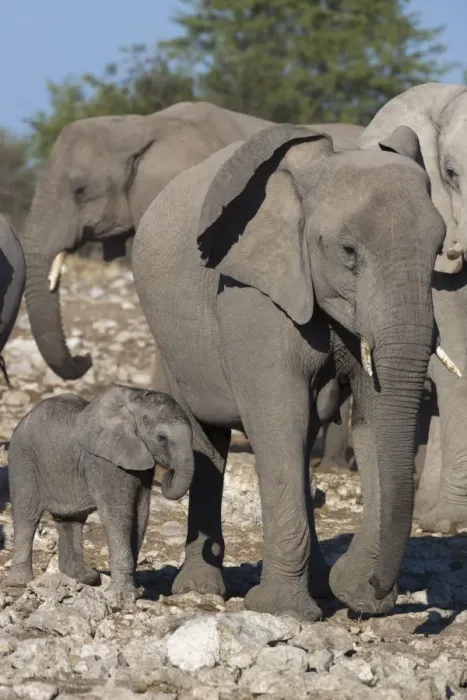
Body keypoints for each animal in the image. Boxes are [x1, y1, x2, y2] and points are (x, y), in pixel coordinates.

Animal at [6, 385, 194, 596]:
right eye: (162, 438)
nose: (168, 474)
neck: (135, 400)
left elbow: (141, 513)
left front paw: (132, 589)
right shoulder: (104, 462)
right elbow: (118, 514)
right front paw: (123, 596)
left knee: (71, 520)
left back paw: (85, 578)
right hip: (23, 458)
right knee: (27, 516)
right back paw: (21, 583)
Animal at [131, 122, 455, 620]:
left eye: (438, 249)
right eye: (348, 252)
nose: (376, 589)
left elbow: (372, 421)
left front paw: (348, 592)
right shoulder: (250, 293)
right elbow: (277, 416)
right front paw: (280, 610)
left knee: (303, 440)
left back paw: (317, 583)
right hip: (172, 339)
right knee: (207, 436)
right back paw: (199, 589)